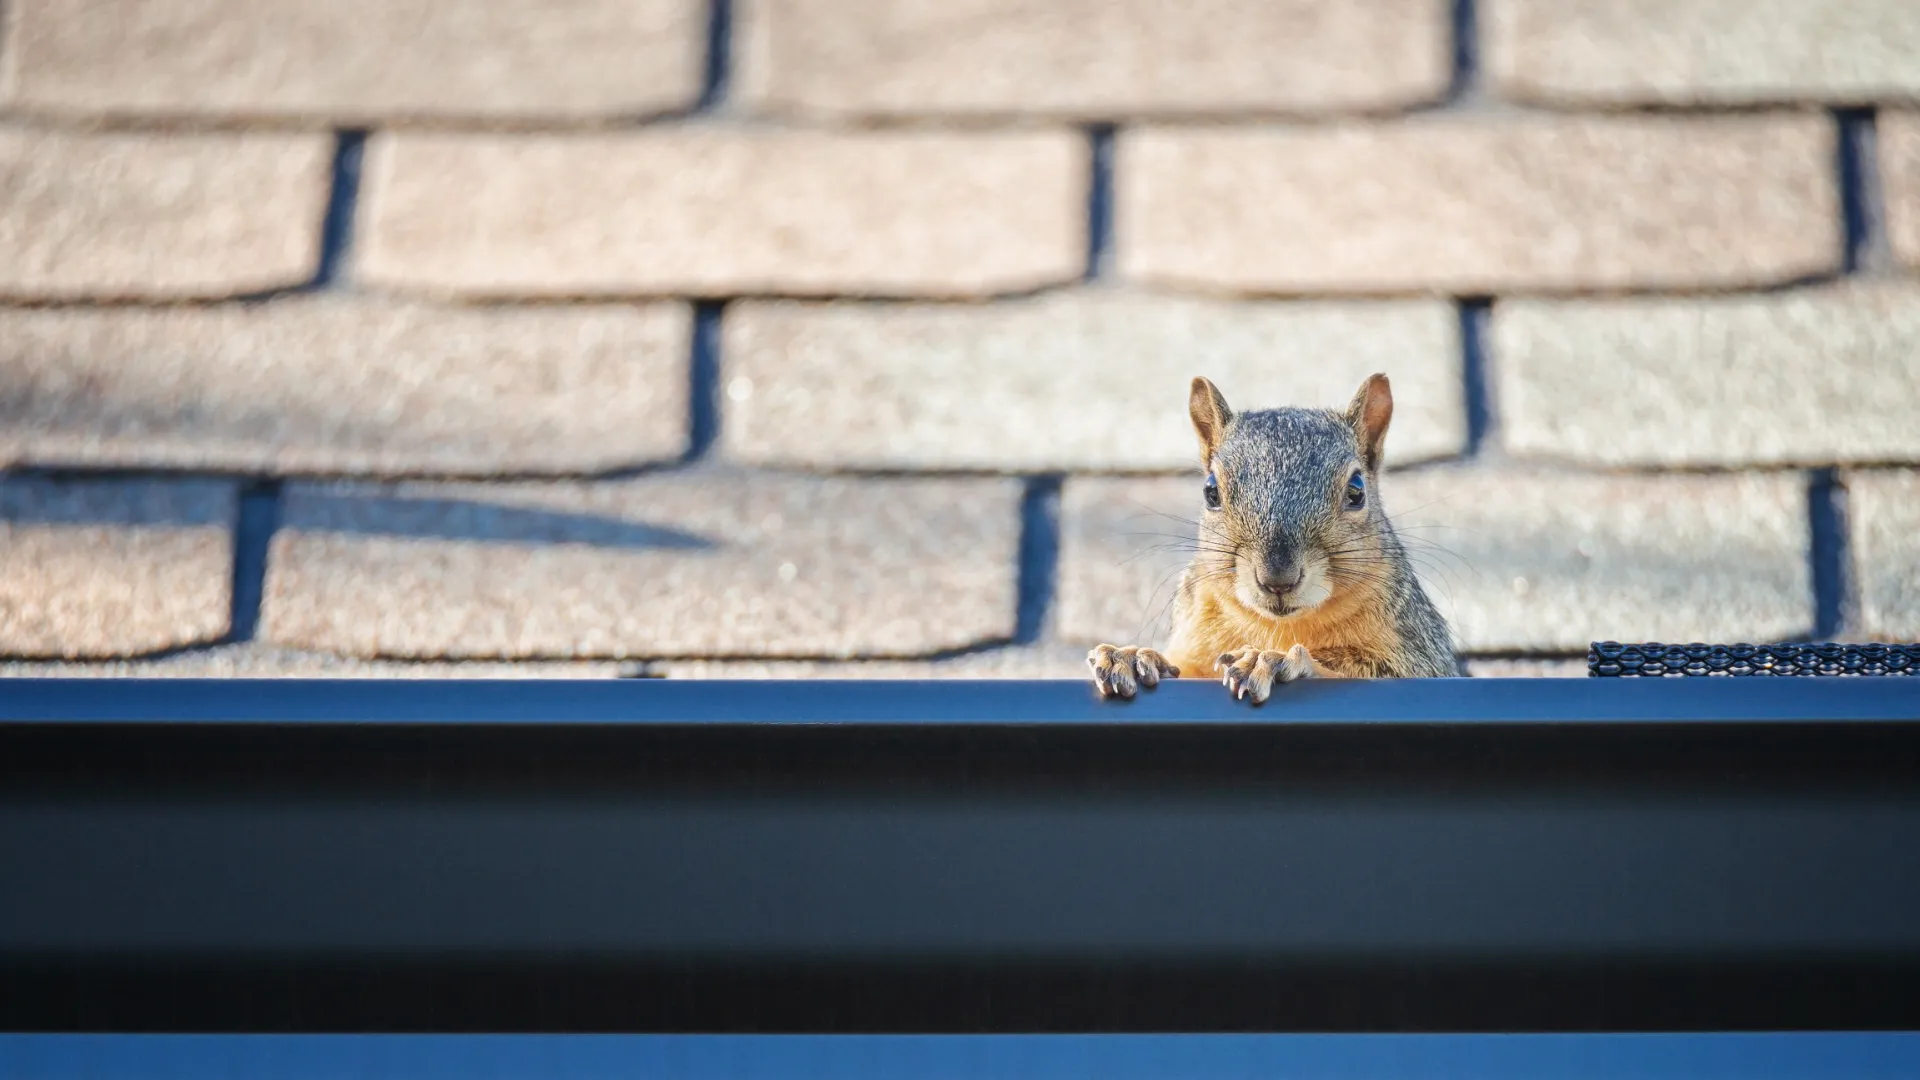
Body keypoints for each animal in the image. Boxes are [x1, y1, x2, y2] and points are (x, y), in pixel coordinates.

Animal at [1098, 374, 1451, 703]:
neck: (1277, 626)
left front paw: (1273, 660)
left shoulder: (1419, 655)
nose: (1278, 580)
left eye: (1357, 491)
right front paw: (1133, 657)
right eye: (1211, 491)